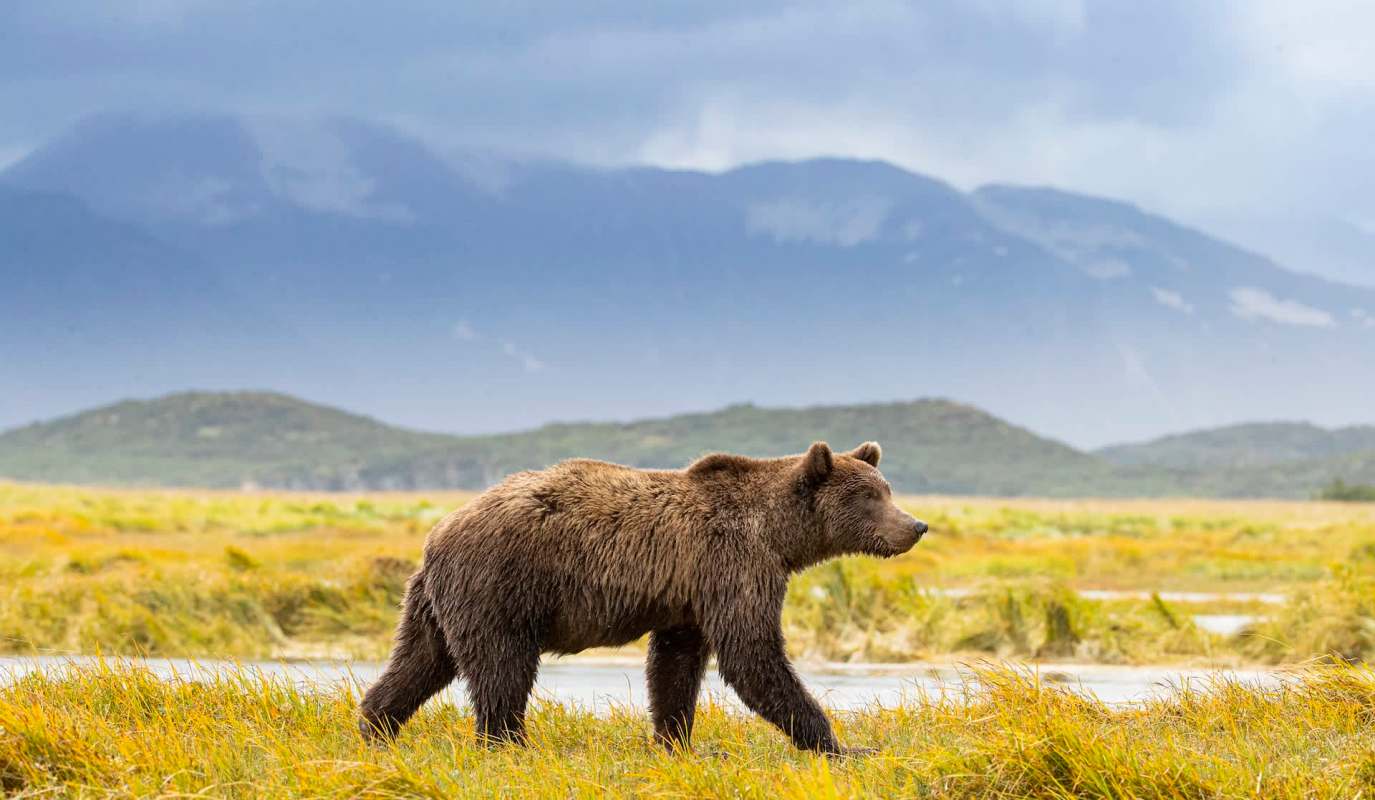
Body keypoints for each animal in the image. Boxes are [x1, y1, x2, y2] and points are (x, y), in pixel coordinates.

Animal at [358, 441, 927, 754]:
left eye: (888, 489)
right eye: (870, 496)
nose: (916, 526)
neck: (780, 535)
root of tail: (438, 533)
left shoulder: (691, 595)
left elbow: (676, 665)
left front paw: (676, 741)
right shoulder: (734, 565)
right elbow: (752, 655)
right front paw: (843, 745)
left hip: (435, 601)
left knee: (420, 661)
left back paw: (374, 726)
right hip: (500, 587)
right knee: (503, 670)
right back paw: (509, 744)